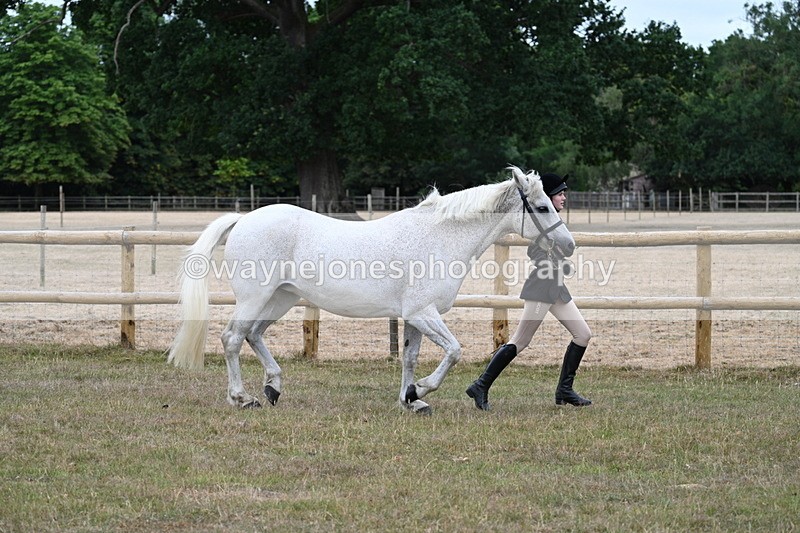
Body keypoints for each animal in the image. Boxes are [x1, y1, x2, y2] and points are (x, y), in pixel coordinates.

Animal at [168, 166, 575, 414]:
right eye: (542, 207)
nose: (569, 246)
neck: (439, 238)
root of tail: (245, 219)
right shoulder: (423, 313)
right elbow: (454, 351)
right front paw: (421, 391)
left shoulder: (414, 318)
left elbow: (410, 357)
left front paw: (411, 400)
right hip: (255, 297)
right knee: (232, 338)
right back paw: (242, 397)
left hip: (281, 298)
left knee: (253, 335)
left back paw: (273, 388)